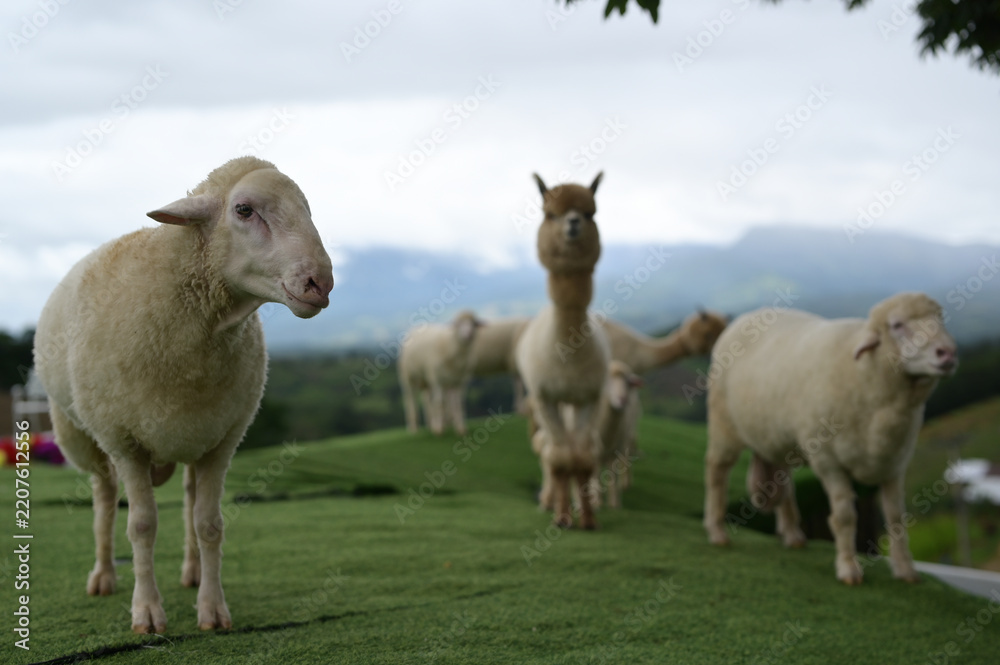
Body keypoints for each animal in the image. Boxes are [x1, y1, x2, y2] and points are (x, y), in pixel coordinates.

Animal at [33, 156, 333, 633]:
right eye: (244, 210)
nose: (319, 282)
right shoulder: (125, 442)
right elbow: (141, 526)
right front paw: (147, 613)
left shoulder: (224, 440)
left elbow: (209, 524)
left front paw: (212, 609)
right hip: (82, 436)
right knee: (104, 498)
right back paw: (103, 575)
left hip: (195, 431)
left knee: (190, 498)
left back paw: (191, 573)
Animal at [515, 172, 609, 529]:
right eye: (549, 214)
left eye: (591, 212)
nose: (573, 223)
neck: (568, 356)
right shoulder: (545, 396)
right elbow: (557, 458)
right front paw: (561, 516)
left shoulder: (589, 396)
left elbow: (581, 457)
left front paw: (588, 518)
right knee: (547, 448)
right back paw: (550, 500)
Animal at [703, 292, 958, 585]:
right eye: (897, 325)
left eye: (940, 318)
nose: (948, 353)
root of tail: (749, 315)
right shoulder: (829, 462)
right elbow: (844, 517)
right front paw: (848, 569)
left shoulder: (894, 462)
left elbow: (896, 517)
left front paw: (906, 570)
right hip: (724, 425)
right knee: (716, 473)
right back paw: (717, 531)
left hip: (777, 436)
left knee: (782, 481)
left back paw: (793, 535)